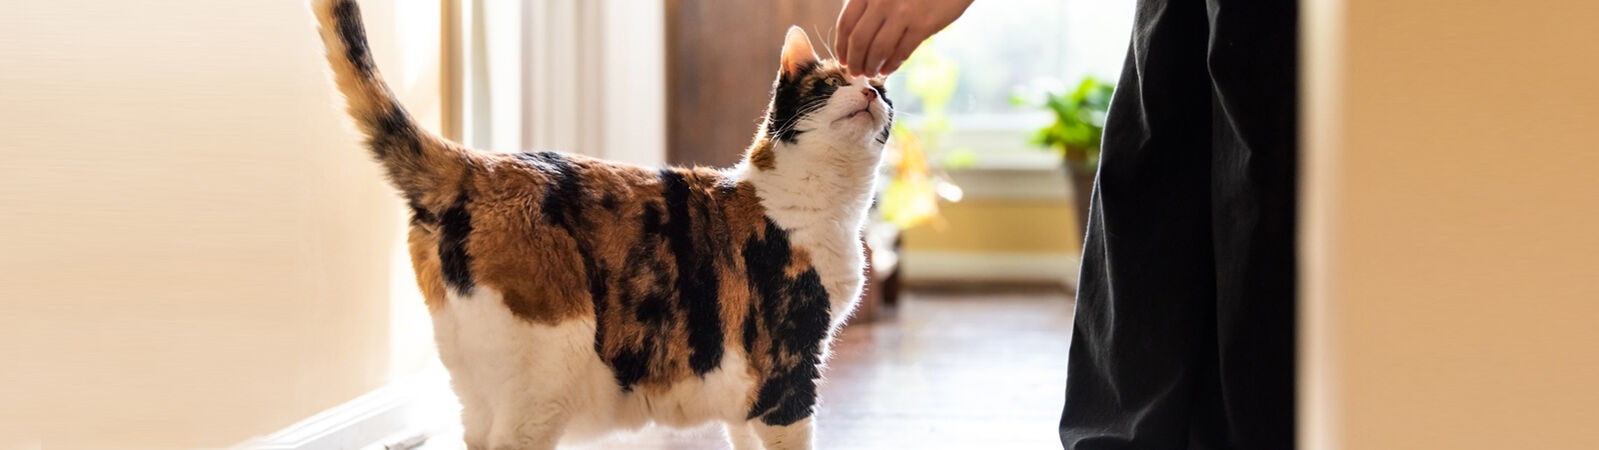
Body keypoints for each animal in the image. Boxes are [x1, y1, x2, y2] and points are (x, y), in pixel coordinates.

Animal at [307, 1, 895, 445]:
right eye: (832, 82)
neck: (826, 203)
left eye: (884, 92)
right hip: (544, 374)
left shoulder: (750, 391)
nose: (871, 92)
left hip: (477, 382)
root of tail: (479, 165)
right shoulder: (787, 367)